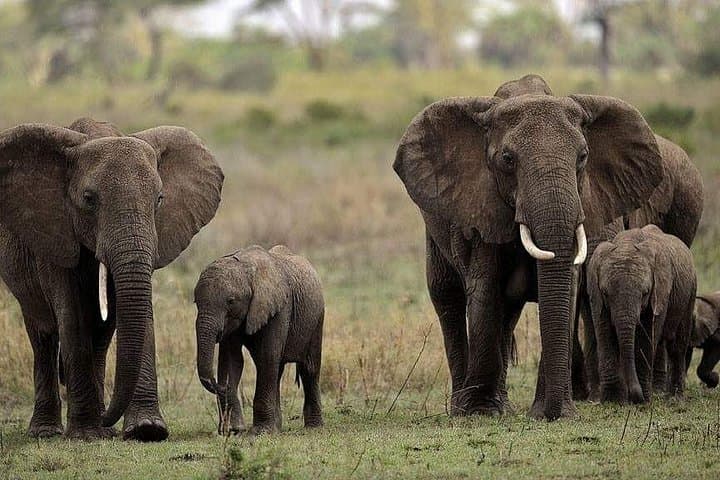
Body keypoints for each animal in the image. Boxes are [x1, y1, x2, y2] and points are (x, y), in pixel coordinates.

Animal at [0, 118, 224, 440]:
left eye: (159, 200)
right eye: (88, 200)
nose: (109, 422)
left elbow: (140, 312)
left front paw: (147, 430)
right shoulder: (56, 234)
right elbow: (72, 318)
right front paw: (86, 435)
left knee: (101, 336)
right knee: (42, 333)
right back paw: (47, 431)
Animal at [194, 245, 324, 434]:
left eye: (231, 301)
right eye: (195, 302)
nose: (220, 386)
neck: (247, 270)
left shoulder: (280, 308)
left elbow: (267, 355)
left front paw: (261, 432)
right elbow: (232, 360)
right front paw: (234, 430)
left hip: (317, 318)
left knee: (309, 368)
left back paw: (313, 428)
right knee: (277, 371)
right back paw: (278, 427)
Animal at [587, 225, 696, 403]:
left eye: (645, 293)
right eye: (605, 293)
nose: (634, 397)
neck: (626, 244)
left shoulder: (660, 290)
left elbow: (646, 337)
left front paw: (642, 400)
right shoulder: (596, 296)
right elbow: (605, 334)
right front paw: (612, 401)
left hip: (690, 292)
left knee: (677, 346)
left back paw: (674, 399)